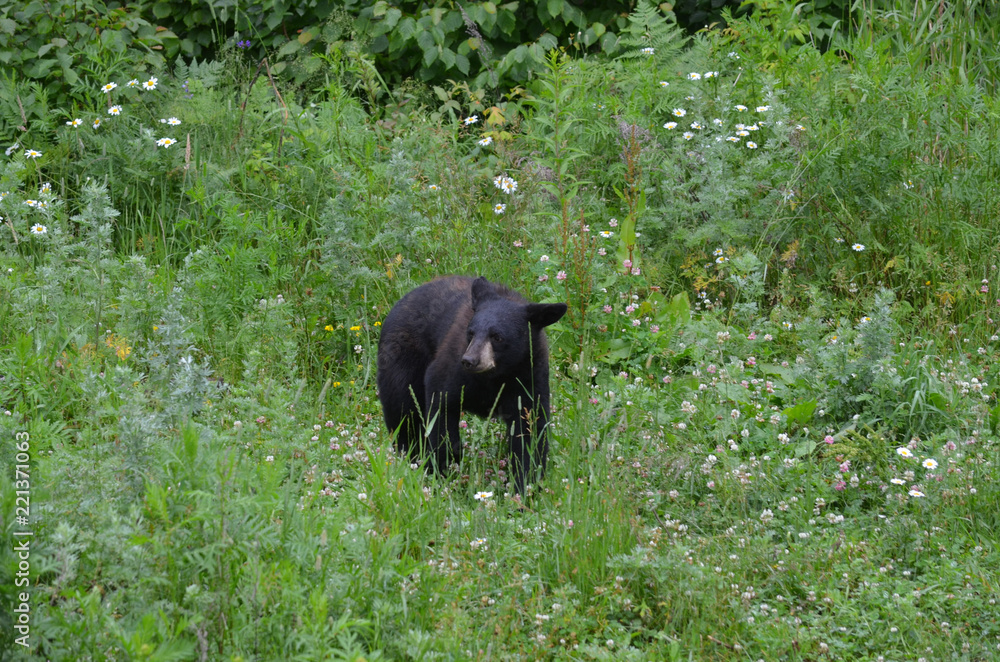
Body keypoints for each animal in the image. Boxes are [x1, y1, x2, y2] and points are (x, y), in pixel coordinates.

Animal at [377, 276, 567, 494]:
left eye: (498, 336)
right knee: (402, 411)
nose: (469, 360)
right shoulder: (453, 369)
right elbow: (442, 406)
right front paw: (444, 469)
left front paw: (524, 486)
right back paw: (412, 459)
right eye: (471, 332)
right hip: (402, 359)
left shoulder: (529, 376)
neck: (496, 375)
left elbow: (530, 428)